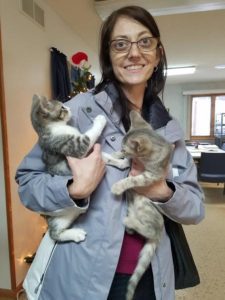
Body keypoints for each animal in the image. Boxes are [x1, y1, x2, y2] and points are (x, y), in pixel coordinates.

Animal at [30, 95, 128, 244]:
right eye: (62, 108)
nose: (69, 108)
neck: (56, 128)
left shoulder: (90, 153)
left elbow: (106, 157)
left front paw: (119, 158)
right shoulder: (78, 147)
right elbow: (90, 135)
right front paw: (100, 120)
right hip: (60, 217)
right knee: (54, 234)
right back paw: (75, 234)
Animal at [110, 110, 172, 300]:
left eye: (125, 147)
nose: (120, 150)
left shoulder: (152, 176)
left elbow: (133, 179)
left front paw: (118, 186)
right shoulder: (130, 162)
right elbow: (122, 163)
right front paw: (110, 157)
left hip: (147, 212)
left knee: (148, 230)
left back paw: (130, 222)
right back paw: (130, 227)